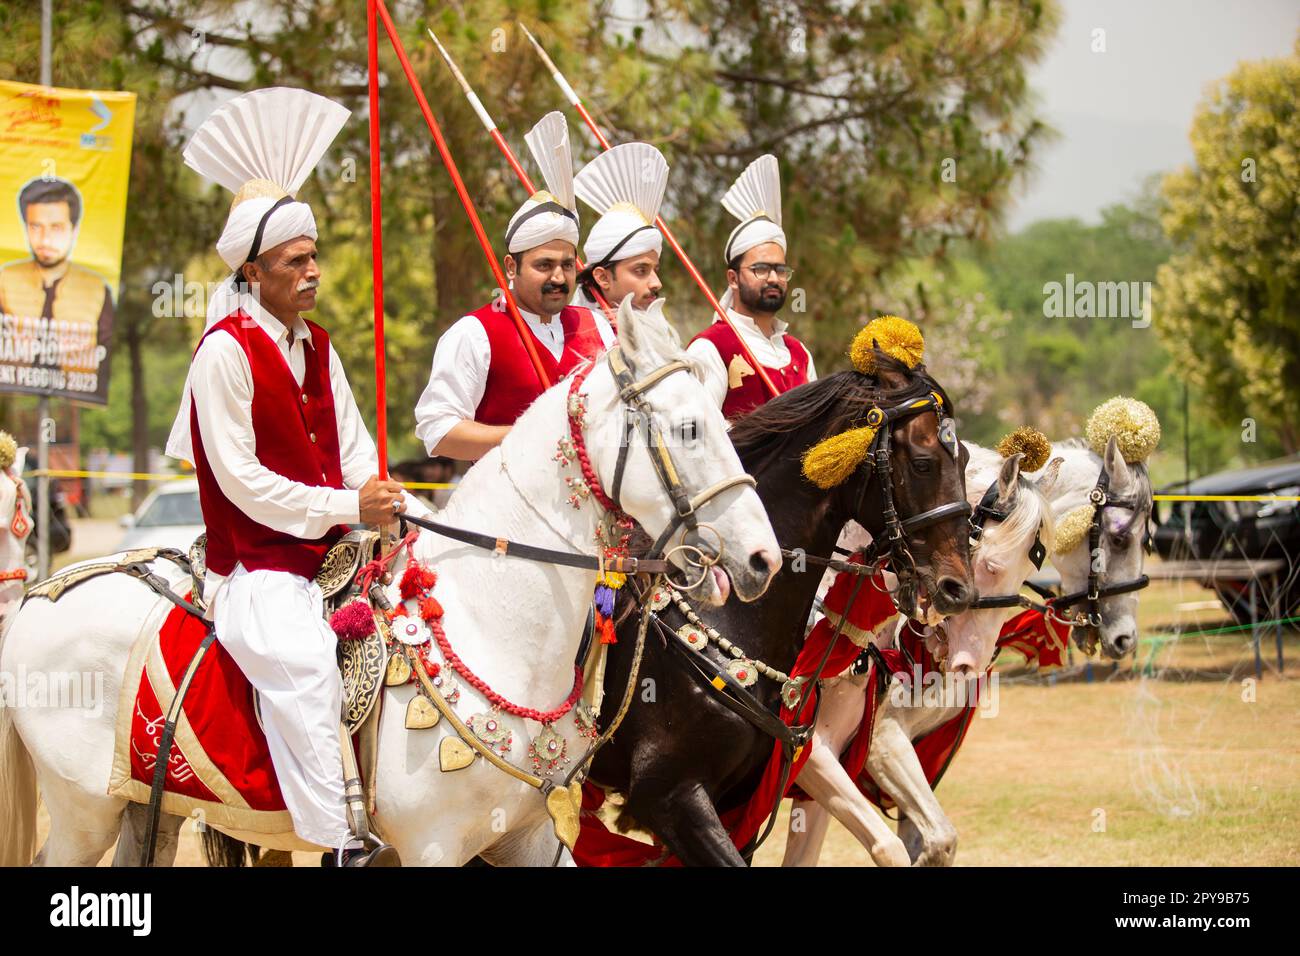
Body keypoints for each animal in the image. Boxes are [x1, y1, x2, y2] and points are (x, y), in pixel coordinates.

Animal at [2, 300, 780, 868]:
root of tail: (41, 595)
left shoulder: (531, 838)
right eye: (689, 429)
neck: (491, 625)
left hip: (146, 805)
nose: (762, 560)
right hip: (83, 814)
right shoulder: (435, 849)